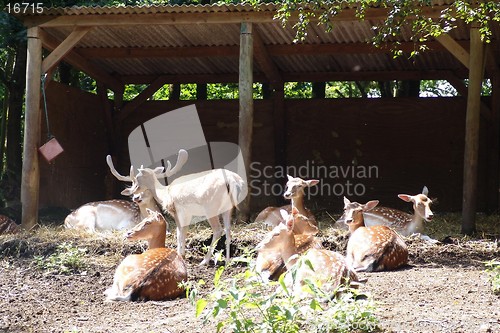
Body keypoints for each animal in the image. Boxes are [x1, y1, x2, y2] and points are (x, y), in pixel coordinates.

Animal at [106, 149, 245, 266]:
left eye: (137, 179)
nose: (132, 192)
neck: (165, 193)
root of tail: (233, 181)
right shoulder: (183, 213)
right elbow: (181, 232)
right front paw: (181, 253)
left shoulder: (180, 210)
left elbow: (180, 233)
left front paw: (180, 254)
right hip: (228, 208)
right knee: (228, 230)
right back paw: (228, 261)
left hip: (210, 206)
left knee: (218, 230)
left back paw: (205, 261)